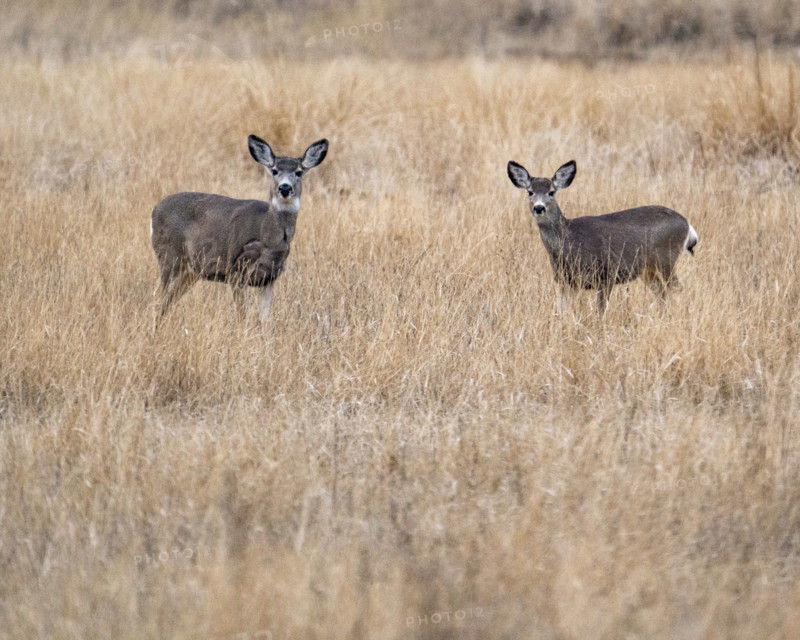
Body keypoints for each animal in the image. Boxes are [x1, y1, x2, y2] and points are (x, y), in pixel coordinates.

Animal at [150, 136, 329, 329]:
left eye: (298, 172)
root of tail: (154, 211)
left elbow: (265, 320)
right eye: (274, 170)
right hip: (170, 256)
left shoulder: (269, 278)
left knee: (168, 300)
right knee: (157, 296)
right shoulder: (236, 270)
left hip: (190, 271)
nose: (285, 188)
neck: (269, 237)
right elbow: (242, 317)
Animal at [507, 159, 697, 317]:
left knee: (676, 288)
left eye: (552, 192)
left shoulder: (606, 274)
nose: (539, 208)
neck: (570, 239)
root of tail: (687, 225)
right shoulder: (566, 280)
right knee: (662, 292)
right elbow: (561, 311)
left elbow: (600, 313)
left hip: (665, 258)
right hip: (649, 270)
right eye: (530, 192)